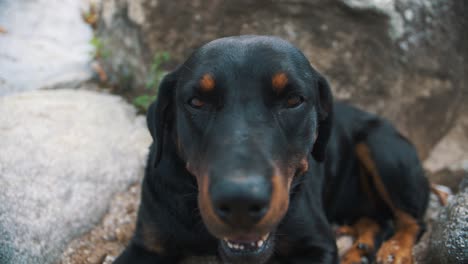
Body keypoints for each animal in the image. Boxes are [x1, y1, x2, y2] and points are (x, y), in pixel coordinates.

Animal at [115, 35, 430, 264]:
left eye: (293, 100)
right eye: (196, 102)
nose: (240, 202)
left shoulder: (315, 245)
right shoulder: (146, 245)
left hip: (384, 149)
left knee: (412, 221)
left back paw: (393, 250)